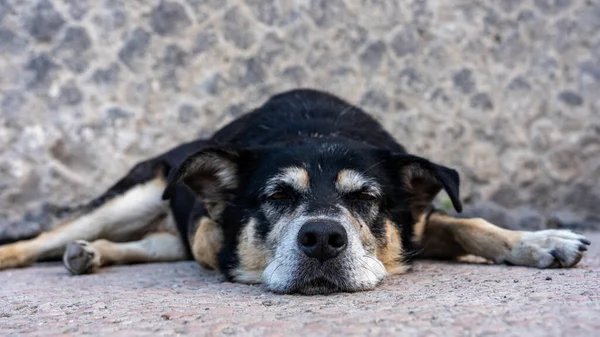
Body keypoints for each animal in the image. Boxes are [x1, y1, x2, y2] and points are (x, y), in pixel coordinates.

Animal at [0, 88, 592, 292]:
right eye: (279, 197)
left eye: (365, 200)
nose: (323, 240)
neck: (317, 133)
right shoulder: (210, 230)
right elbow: (218, 247)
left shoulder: (416, 222)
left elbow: (467, 221)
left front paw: (539, 242)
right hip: (138, 192)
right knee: (43, 240)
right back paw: (46, 251)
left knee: (145, 245)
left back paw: (91, 255)